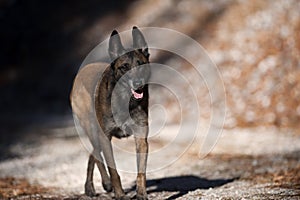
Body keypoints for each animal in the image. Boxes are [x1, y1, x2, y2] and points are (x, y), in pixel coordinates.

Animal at [70, 27, 150, 200]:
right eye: (124, 67)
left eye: (140, 64)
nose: (138, 84)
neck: (124, 99)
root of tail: (83, 70)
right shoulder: (105, 136)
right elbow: (113, 171)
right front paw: (119, 194)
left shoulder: (141, 138)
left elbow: (141, 171)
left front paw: (141, 194)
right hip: (93, 130)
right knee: (97, 155)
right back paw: (100, 185)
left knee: (93, 153)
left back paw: (92, 187)